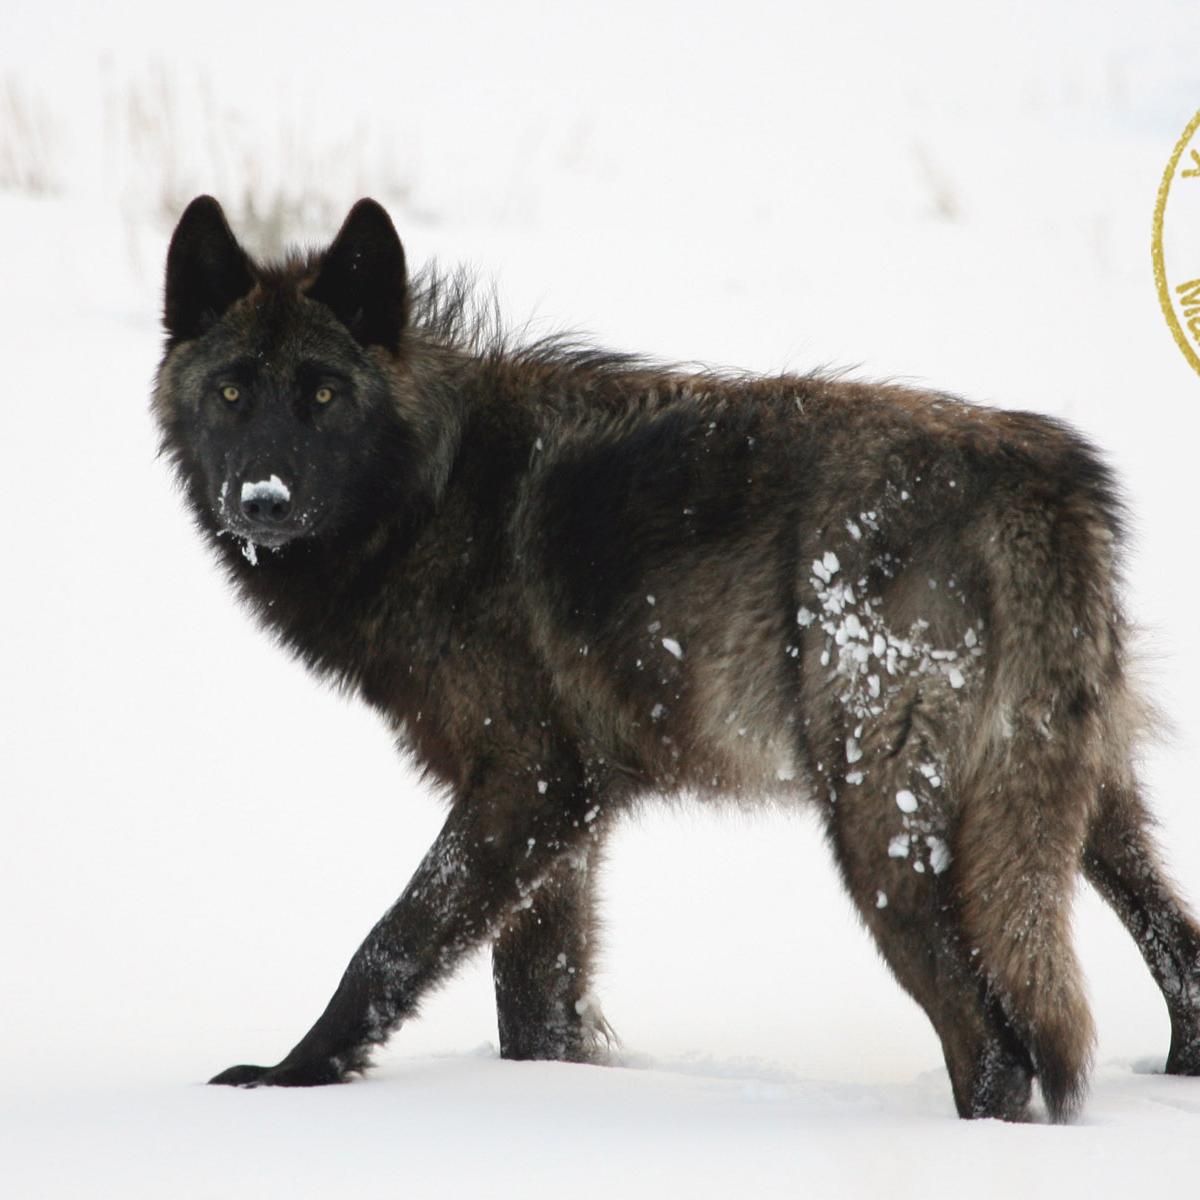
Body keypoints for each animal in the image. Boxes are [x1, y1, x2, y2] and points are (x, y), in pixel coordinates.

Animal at [155, 195, 1200, 1122]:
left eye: (324, 395)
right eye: (232, 392)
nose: (262, 499)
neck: (432, 493)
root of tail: (1040, 480)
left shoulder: (527, 784)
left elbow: (390, 944)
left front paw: (289, 1078)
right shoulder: (564, 820)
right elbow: (536, 1007)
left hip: (882, 832)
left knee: (994, 1045)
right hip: (1076, 804)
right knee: (1177, 953)